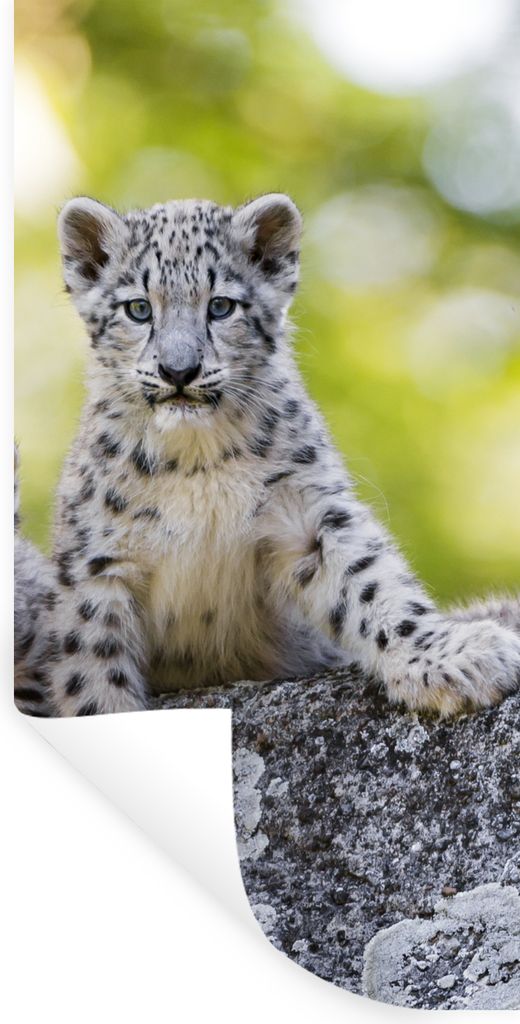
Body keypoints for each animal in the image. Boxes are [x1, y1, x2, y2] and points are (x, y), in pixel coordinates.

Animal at [14, 192, 520, 717]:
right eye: (138, 308)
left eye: (220, 306)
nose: (179, 371)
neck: (196, 462)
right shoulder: (100, 565)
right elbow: (94, 673)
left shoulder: (308, 511)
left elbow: (371, 581)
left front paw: (453, 657)